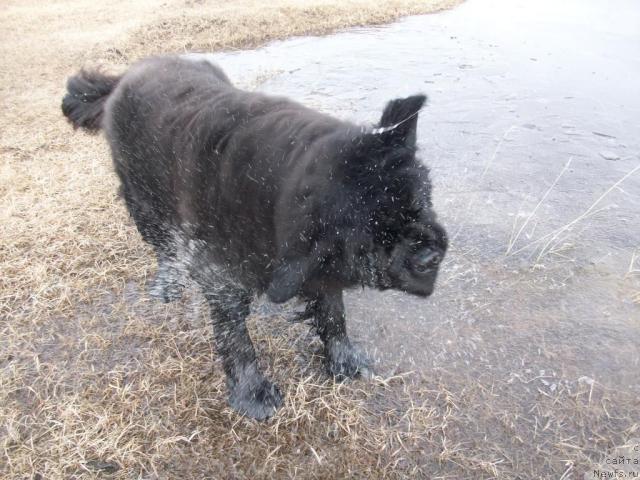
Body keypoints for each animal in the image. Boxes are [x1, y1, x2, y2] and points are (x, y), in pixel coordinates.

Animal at [62, 56, 448, 420]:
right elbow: (236, 339)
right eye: (372, 244)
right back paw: (167, 284)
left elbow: (332, 312)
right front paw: (253, 393)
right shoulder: (220, 275)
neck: (269, 191)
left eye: (422, 202)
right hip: (144, 199)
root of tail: (126, 75)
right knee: (164, 245)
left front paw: (344, 360)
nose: (429, 257)